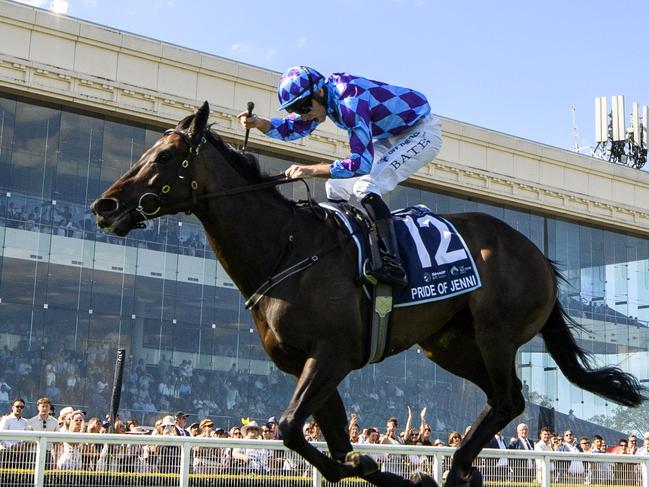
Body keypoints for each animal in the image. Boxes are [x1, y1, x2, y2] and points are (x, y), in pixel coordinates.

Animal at [91, 101, 644, 486]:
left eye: (164, 156)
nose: (104, 205)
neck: (287, 250)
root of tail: (537, 253)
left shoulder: (332, 355)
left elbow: (291, 428)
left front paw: (390, 470)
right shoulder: (309, 363)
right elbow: (327, 443)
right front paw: (377, 466)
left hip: (496, 333)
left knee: (509, 399)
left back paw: (457, 468)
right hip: (447, 344)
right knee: (498, 400)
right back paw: (461, 467)